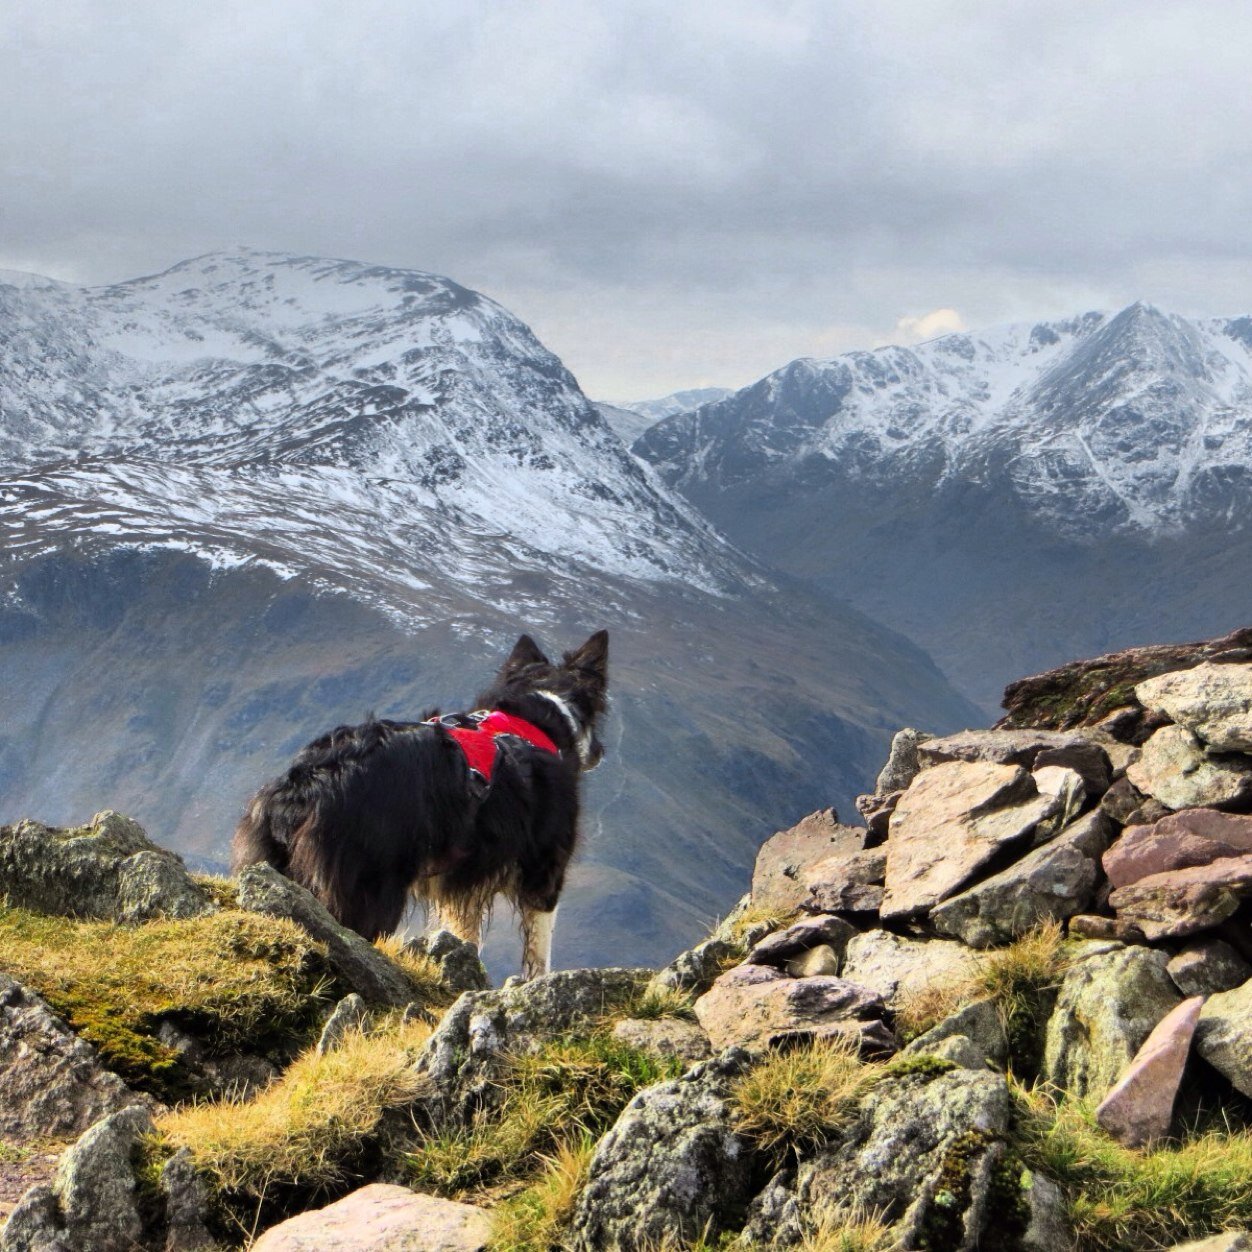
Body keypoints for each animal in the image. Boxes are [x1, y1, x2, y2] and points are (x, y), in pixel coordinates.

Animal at [235, 631, 610, 981]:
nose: (600, 753)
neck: (535, 719)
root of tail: (306, 782)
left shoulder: (461, 882)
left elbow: (466, 935)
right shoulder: (544, 871)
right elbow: (539, 950)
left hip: (271, 868)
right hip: (370, 888)